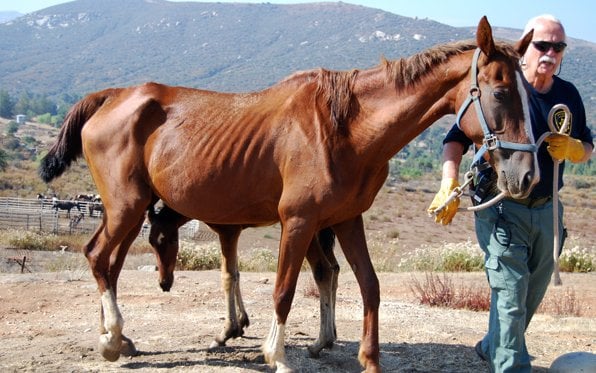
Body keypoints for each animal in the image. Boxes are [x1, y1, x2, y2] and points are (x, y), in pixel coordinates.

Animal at [39, 16, 536, 370]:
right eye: (500, 91)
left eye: (530, 93)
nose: (526, 175)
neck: (345, 130)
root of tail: (111, 96)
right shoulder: (297, 222)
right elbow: (283, 290)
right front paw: (275, 355)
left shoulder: (345, 220)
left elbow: (369, 286)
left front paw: (368, 360)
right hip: (125, 206)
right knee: (99, 258)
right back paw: (110, 341)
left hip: (130, 208)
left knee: (108, 263)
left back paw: (119, 339)